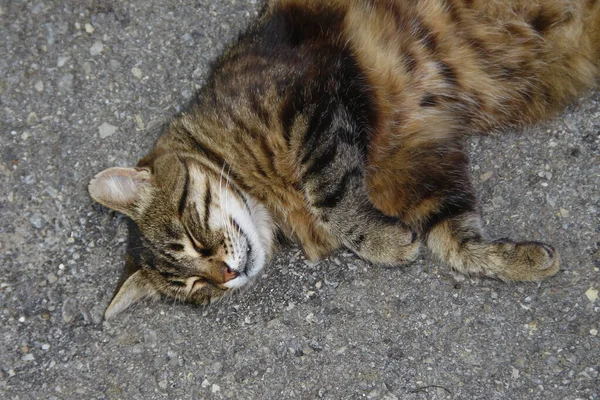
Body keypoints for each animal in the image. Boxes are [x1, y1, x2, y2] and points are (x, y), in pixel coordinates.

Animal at [88, 0, 600, 318]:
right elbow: (454, 240)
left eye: (194, 239)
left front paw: (380, 243)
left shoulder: (311, 101)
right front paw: (519, 260)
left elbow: (330, 196)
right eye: (198, 289)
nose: (228, 275)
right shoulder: (419, 163)